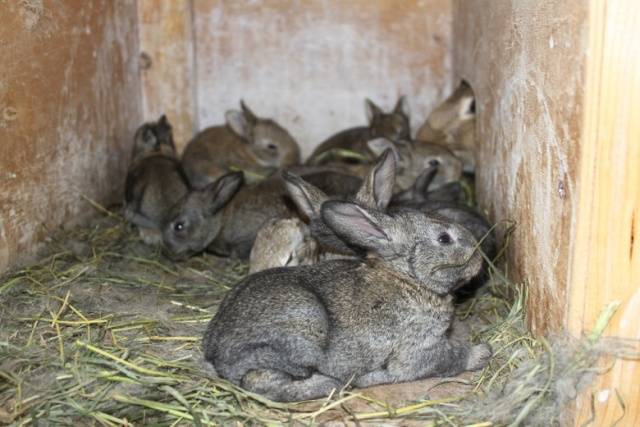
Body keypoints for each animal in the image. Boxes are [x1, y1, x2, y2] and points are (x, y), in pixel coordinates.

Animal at [202, 199, 492, 402]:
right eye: (444, 239)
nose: (479, 259)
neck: (408, 278)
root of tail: (215, 351)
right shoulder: (419, 349)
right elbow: (451, 357)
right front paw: (482, 353)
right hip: (305, 327)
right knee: (260, 381)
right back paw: (332, 383)